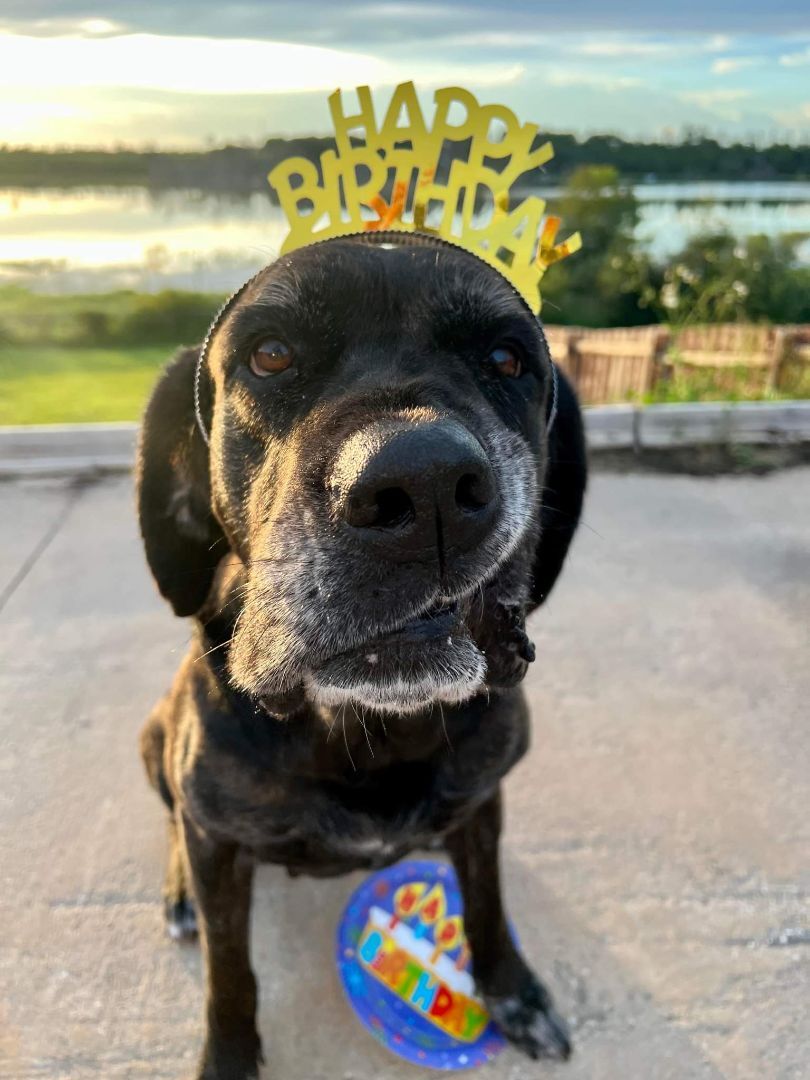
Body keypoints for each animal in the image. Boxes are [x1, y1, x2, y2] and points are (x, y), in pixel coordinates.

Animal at [136, 232, 587, 1075]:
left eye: (507, 358)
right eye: (270, 355)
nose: (427, 483)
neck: (365, 731)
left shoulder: (482, 800)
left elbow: (487, 902)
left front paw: (511, 989)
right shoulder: (219, 839)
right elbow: (228, 968)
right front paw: (229, 1054)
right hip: (154, 744)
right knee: (175, 822)